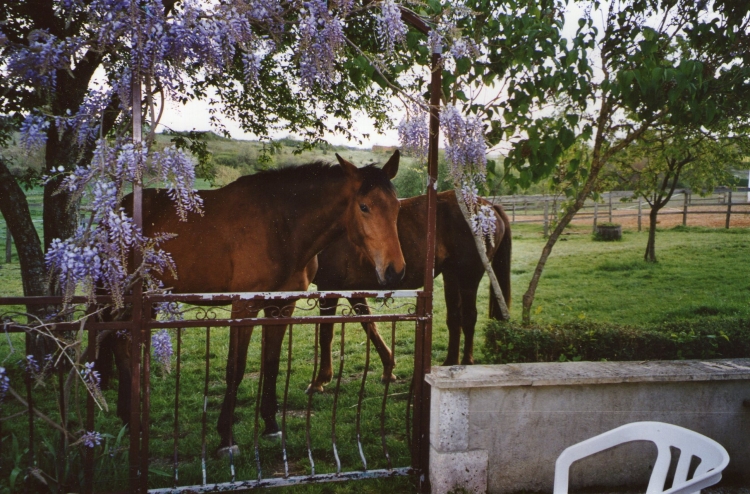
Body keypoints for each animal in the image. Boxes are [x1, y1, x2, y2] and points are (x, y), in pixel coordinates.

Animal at [95, 152, 405, 454]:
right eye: (364, 207)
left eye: (396, 208)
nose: (394, 271)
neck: (282, 226)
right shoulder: (243, 307)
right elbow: (236, 368)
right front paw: (225, 436)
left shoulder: (281, 306)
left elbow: (271, 363)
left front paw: (270, 424)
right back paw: (128, 417)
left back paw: (128, 415)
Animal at [306, 190, 511, 393]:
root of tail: (490, 207)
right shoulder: (350, 289)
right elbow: (369, 325)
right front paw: (388, 368)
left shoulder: (328, 286)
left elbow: (326, 333)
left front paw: (320, 380)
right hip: (451, 276)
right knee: (454, 319)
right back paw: (449, 363)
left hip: (469, 276)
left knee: (469, 318)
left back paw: (467, 364)